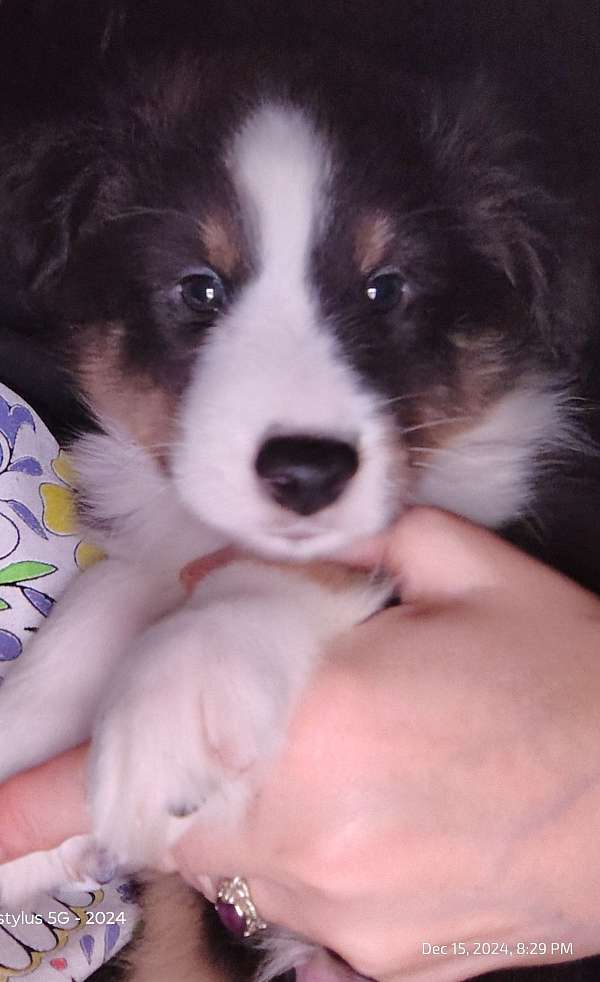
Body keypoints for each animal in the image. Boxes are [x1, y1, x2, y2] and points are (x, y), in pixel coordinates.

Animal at [1, 46, 600, 982]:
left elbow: (299, 564)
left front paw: (172, 703)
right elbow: (106, 599)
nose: (308, 473)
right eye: (200, 289)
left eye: (386, 289)